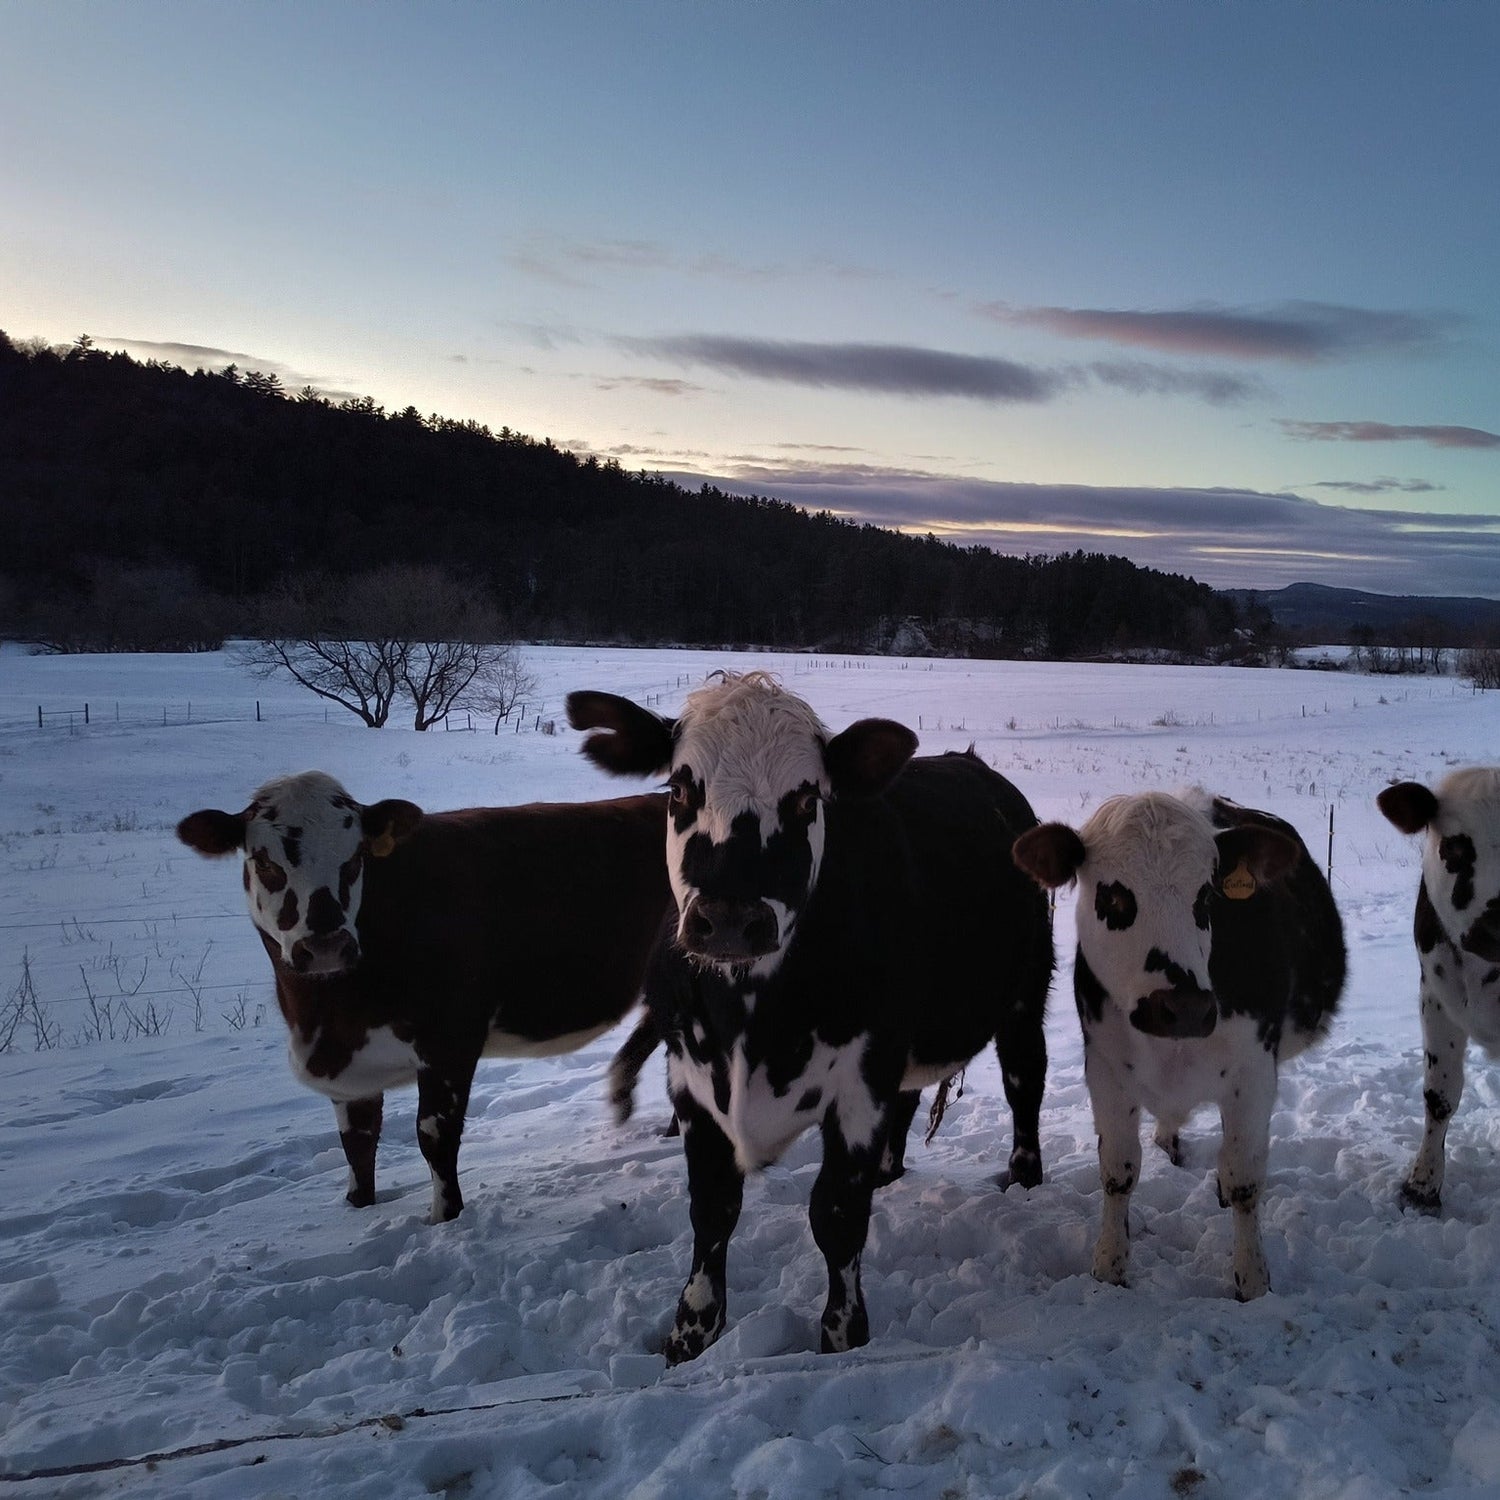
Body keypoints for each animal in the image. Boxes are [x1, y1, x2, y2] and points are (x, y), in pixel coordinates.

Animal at [177, 771, 671, 1223]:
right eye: (264, 861)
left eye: (355, 857)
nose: (326, 946)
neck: (324, 1015)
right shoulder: (350, 1063)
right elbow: (357, 1143)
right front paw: (358, 1207)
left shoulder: (450, 1039)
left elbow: (434, 1135)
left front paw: (445, 1217)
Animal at [566, 671, 1053, 1363]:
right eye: (680, 789)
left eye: (805, 801)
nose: (731, 919)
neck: (750, 1019)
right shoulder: (690, 1079)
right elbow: (712, 1209)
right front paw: (691, 1334)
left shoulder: (860, 1079)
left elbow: (836, 1215)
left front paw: (844, 1334)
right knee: (911, 1101)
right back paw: (889, 1173)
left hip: (1023, 995)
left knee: (1024, 1081)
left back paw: (1022, 1177)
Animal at [1013, 790, 1345, 1300]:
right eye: (1112, 895)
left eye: (1206, 895)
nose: (1184, 1008)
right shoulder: (1106, 1070)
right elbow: (1118, 1171)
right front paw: (1108, 1268)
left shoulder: (1253, 1075)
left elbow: (1246, 1178)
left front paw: (1252, 1281)